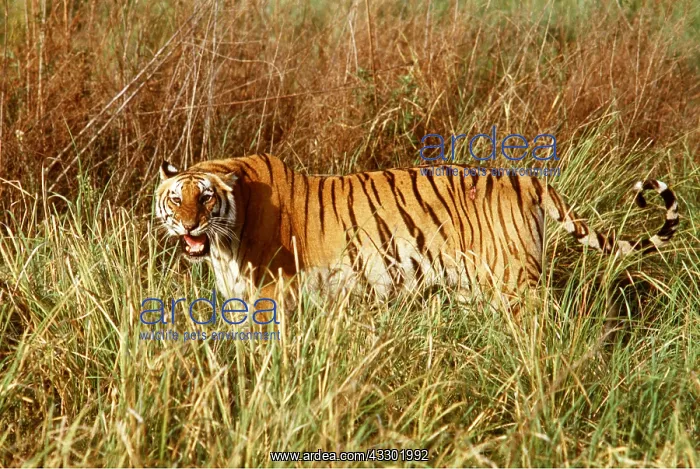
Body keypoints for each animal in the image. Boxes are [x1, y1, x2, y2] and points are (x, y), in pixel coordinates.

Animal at [154, 153, 679, 311]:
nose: (188, 223)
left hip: (518, 285)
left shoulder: (274, 296)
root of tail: (524, 176)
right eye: (175, 199)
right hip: (478, 287)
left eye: (206, 198)